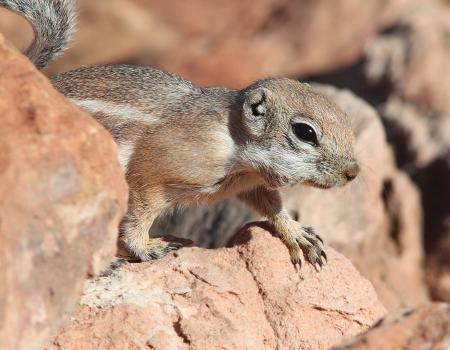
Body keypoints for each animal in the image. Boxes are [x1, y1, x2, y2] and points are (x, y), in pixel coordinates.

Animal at [0, 0, 358, 270]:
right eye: (305, 132)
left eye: (344, 117)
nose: (353, 172)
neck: (234, 144)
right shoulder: (153, 173)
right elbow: (138, 215)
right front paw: (146, 248)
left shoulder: (250, 184)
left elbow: (271, 205)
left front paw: (297, 233)